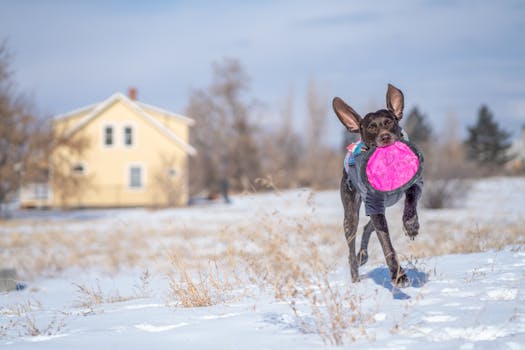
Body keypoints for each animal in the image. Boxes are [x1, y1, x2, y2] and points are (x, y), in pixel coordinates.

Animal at [334, 85, 424, 288]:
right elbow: (386, 244)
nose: (385, 137)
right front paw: (399, 276)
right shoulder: (373, 204)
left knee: (368, 226)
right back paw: (356, 276)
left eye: (389, 122)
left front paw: (411, 224)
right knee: (352, 246)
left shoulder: (415, 183)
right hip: (350, 213)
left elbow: (411, 199)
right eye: (371, 128)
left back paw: (363, 255)